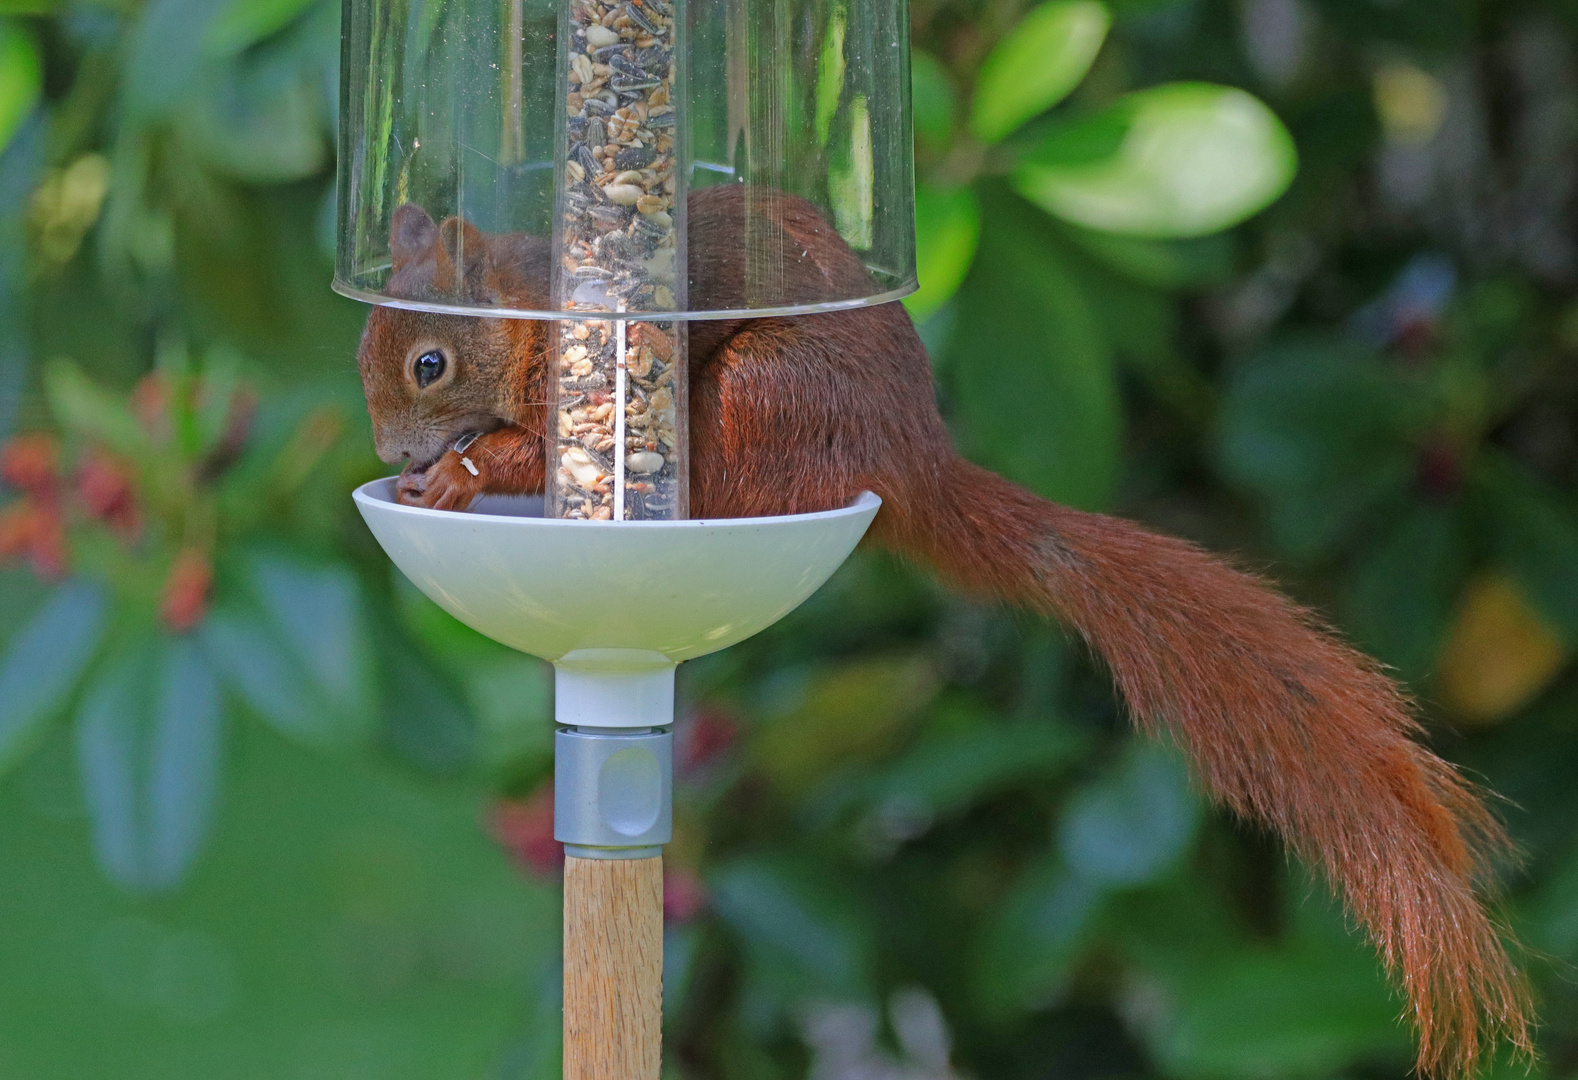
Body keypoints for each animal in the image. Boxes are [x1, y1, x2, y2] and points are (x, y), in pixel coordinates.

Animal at [361, 181, 1527, 1067]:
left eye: (429, 363)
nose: (391, 456)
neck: (535, 309)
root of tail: (914, 459)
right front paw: (434, 479)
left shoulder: (577, 395)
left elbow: (530, 451)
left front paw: (460, 476)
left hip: (758, 400)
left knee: (743, 479)